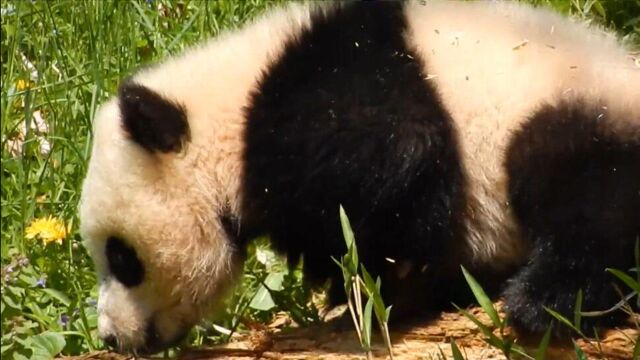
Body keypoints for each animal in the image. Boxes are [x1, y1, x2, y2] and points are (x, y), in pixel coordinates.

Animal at [77, 0, 636, 354]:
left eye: (122, 258)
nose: (112, 337)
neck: (229, 116)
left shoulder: (334, 93)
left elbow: (400, 161)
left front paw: (386, 290)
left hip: (567, 106)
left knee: (586, 197)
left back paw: (548, 301)